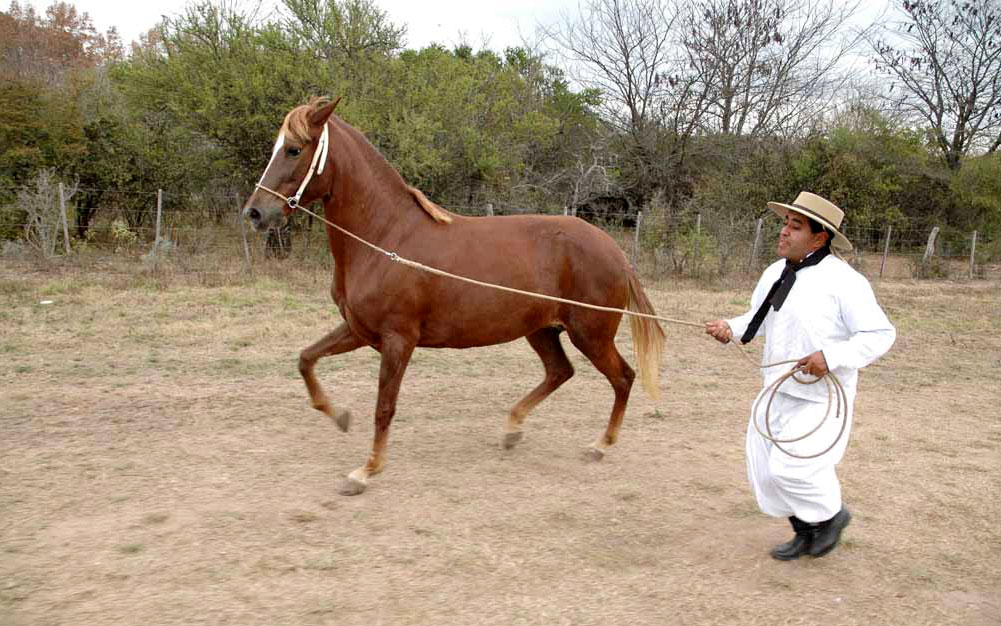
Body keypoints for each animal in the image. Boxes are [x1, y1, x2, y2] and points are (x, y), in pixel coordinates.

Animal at [241, 97, 664, 494]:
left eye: (294, 149)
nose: (255, 213)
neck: (385, 238)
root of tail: (614, 251)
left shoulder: (398, 339)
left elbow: (384, 407)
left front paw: (365, 471)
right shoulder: (359, 330)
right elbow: (306, 359)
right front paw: (340, 416)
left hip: (590, 334)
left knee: (623, 377)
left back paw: (599, 445)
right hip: (542, 330)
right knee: (561, 371)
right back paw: (512, 429)